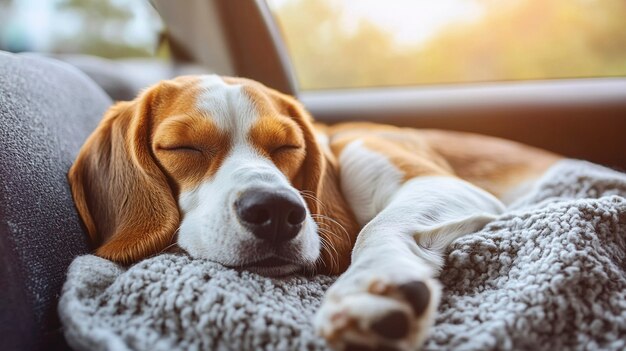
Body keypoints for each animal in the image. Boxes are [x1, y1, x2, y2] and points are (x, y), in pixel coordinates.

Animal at [67, 75, 556, 350]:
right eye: (183, 147)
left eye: (289, 145)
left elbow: (376, 227)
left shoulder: (436, 181)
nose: (276, 210)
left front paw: (372, 286)